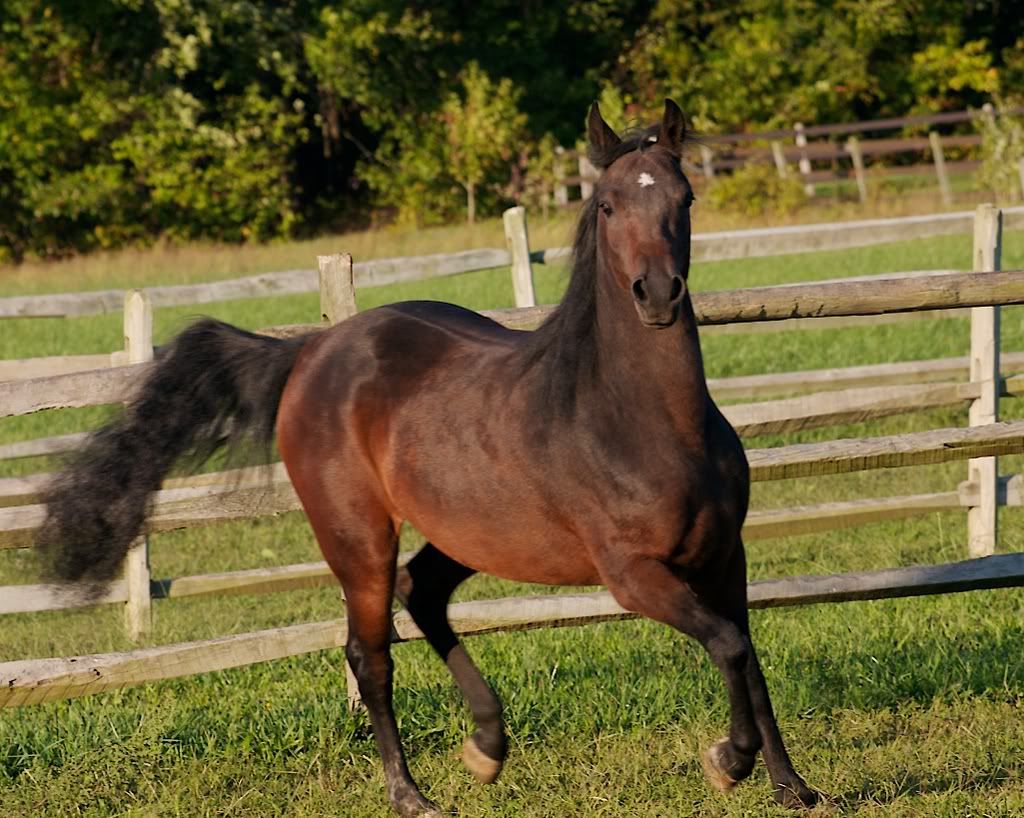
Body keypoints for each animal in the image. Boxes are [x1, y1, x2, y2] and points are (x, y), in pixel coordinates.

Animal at [39, 100, 819, 810]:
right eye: (606, 204)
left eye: (684, 199)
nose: (656, 294)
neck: (641, 423)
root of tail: (312, 351)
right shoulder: (632, 575)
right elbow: (727, 644)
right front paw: (728, 760)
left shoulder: (724, 554)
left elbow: (747, 651)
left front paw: (792, 787)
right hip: (357, 535)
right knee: (371, 653)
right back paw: (411, 793)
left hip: (464, 527)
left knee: (423, 593)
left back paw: (487, 746)